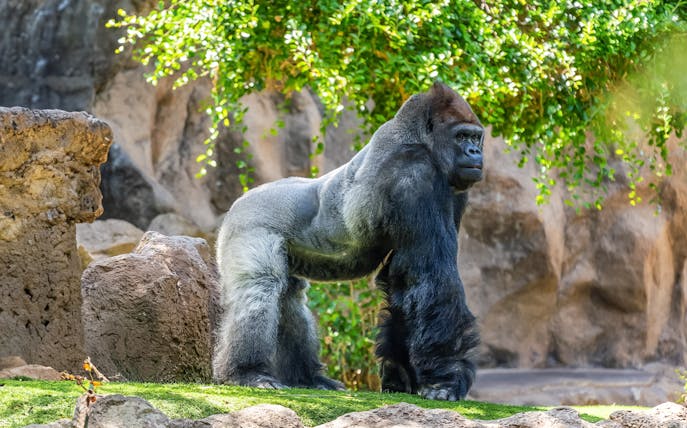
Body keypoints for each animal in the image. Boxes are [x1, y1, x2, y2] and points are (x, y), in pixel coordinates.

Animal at [213, 82, 483, 401]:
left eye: (476, 137)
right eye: (461, 136)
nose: (475, 152)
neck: (418, 137)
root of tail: (238, 202)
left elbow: (403, 279)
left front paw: (401, 376)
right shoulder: (416, 173)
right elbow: (431, 277)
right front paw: (445, 380)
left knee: (290, 299)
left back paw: (308, 377)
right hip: (247, 225)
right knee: (260, 287)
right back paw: (247, 372)